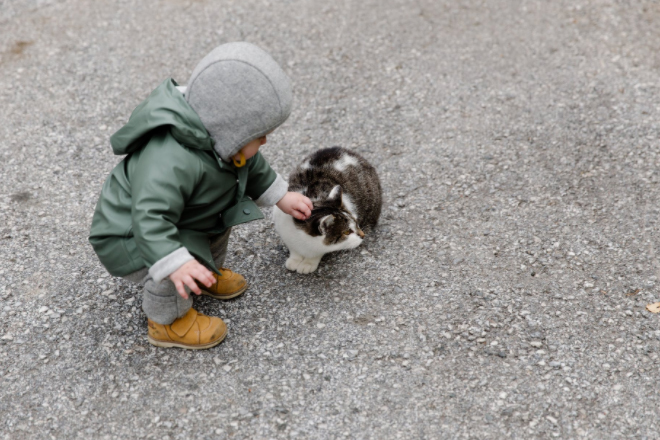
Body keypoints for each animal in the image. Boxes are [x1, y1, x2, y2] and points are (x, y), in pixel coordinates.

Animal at [272, 146, 382, 274]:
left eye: (356, 223)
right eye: (346, 232)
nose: (362, 235)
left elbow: (317, 253)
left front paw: (309, 263)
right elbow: (294, 249)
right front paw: (294, 260)